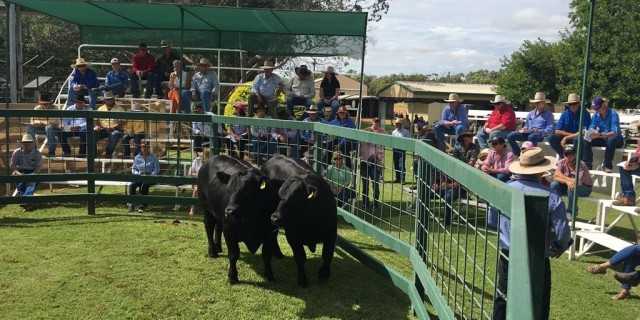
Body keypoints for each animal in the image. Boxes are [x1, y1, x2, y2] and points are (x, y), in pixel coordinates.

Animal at [198, 156, 282, 284]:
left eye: (247, 191)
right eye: (229, 190)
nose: (229, 211)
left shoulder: (270, 233)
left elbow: (267, 254)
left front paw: (269, 275)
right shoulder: (229, 231)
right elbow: (233, 254)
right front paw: (232, 277)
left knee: (218, 227)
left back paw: (218, 247)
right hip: (206, 209)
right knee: (209, 227)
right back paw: (212, 251)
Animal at [262, 155, 340, 288]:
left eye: (296, 198)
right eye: (279, 196)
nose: (275, 218)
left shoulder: (331, 233)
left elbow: (327, 253)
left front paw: (324, 273)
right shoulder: (293, 236)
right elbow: (300, 257)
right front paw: (302, 279)